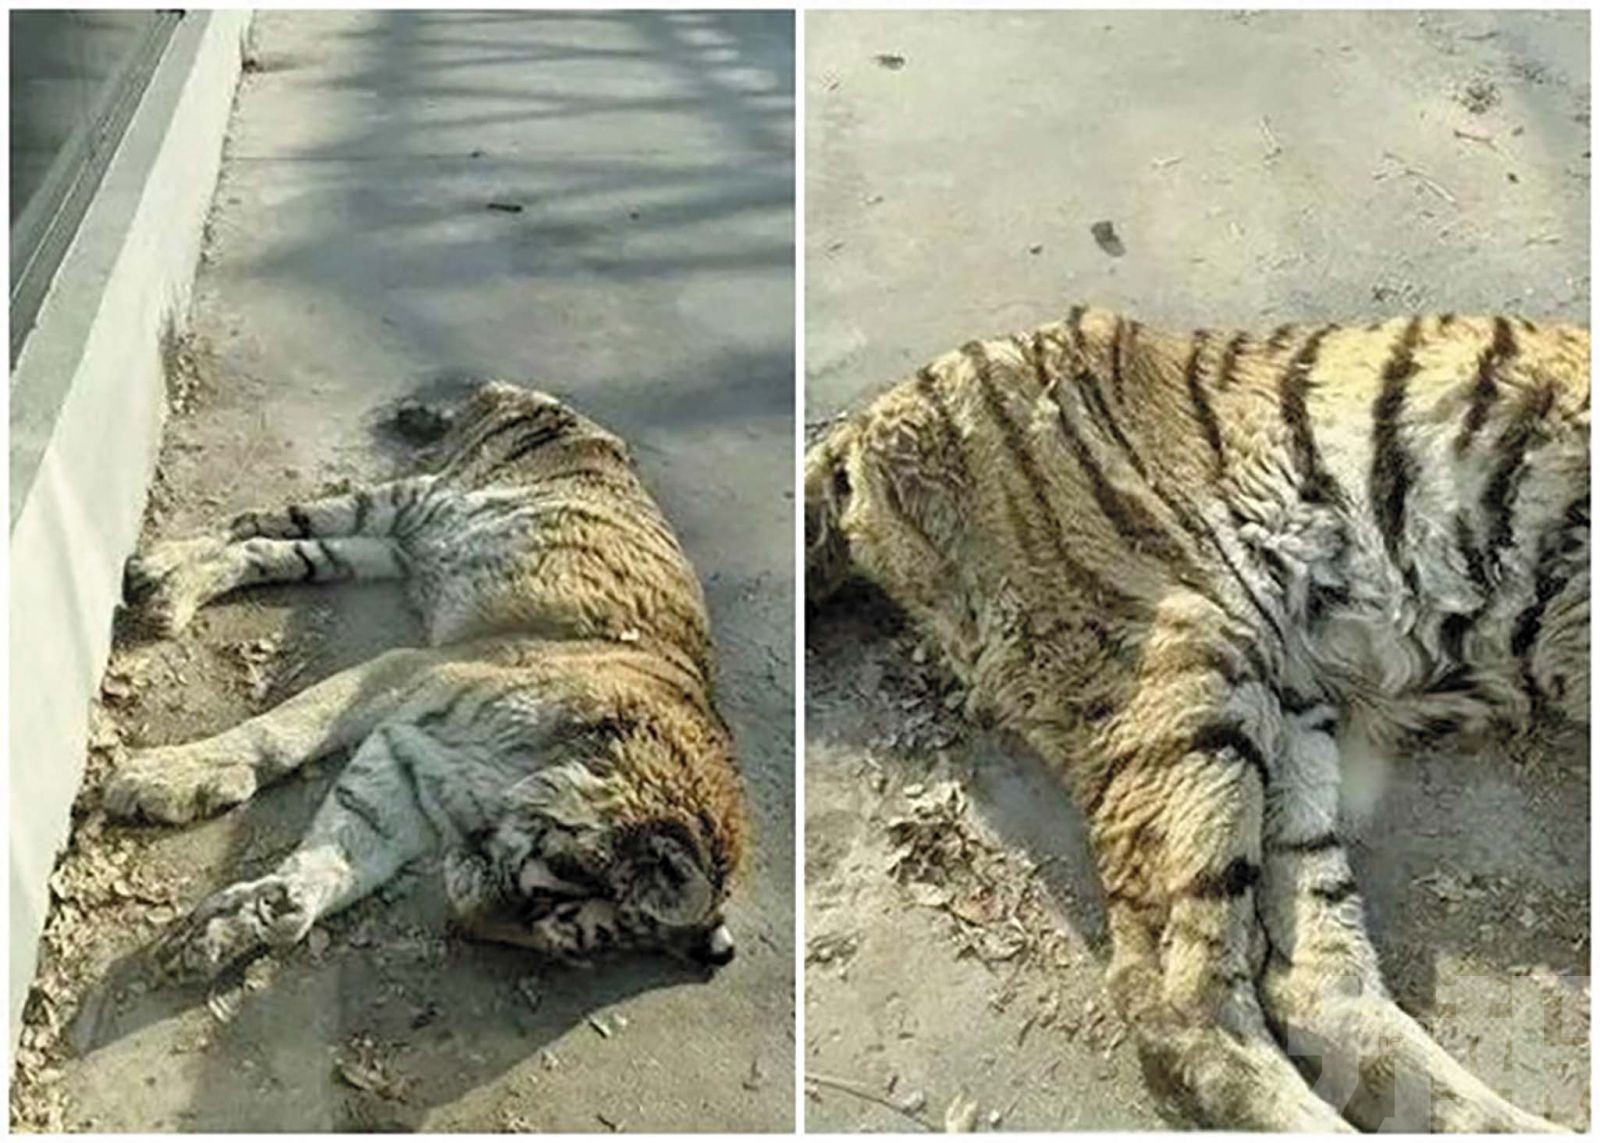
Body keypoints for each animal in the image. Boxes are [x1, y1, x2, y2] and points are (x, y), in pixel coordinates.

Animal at [105, 380, 749, 980]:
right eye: (547, 897)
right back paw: (160, 571)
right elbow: (282, 731)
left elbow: (345, 848)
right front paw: (156, 778)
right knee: (261, 521)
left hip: (388, 547)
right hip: (407, 500)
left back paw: (172, 590)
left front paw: (247, 919)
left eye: (550, 940)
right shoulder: (408, 671)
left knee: (281, 551)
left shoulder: (408, 761)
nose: (461, 921)